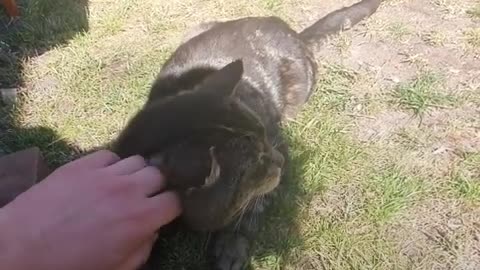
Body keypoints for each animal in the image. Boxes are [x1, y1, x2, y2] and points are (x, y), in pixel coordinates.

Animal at [111, 0, 382, 270]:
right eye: (255, 166)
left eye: (265, 138)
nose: (281, 162)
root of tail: (291, 32)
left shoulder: (276, 142)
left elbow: (252, 210)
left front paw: (231, 247)